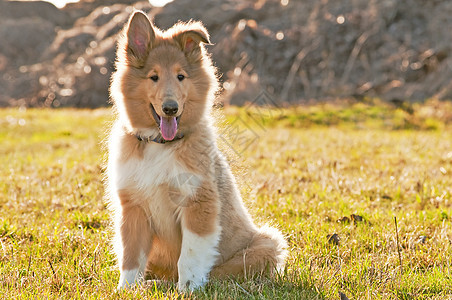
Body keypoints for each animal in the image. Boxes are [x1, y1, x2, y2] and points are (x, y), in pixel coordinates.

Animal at [106, 9, 286, 290]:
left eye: (181, 76)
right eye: (154, 77)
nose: (170, 108)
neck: (160, 144)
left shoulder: (198, 204)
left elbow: (189, 258)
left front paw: (187, 290)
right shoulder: (133, 208)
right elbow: (131, 257)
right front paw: (127, 290)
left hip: (267, 243)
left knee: (223, 273)